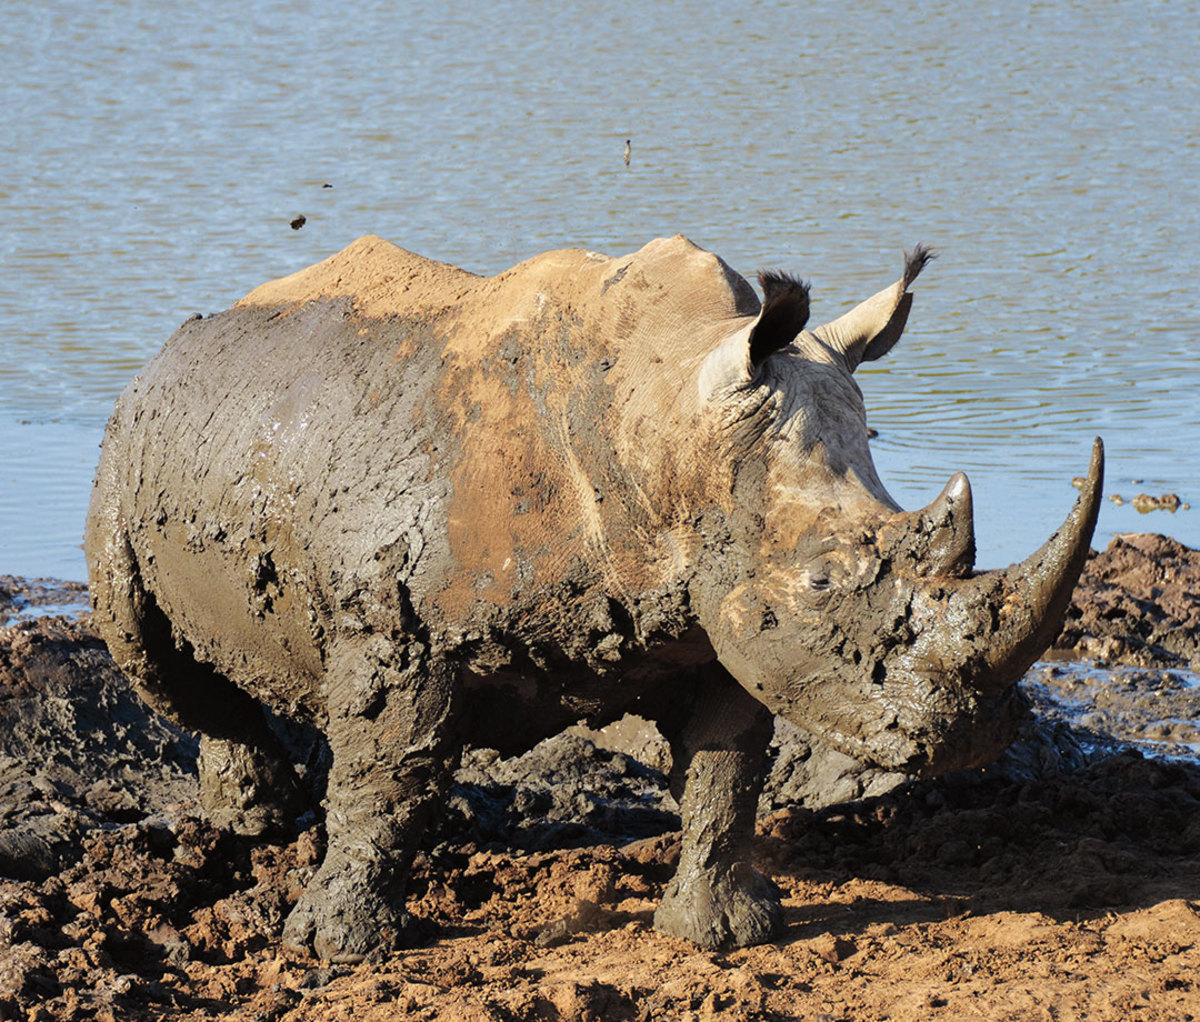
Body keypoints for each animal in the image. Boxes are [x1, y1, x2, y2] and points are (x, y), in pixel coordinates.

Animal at [84, 235, 1099, 964]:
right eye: (819, 584)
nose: (968, 738)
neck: (664, 417)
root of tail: (178, 344)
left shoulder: (713, 613)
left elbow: (726, 774)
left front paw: (724, 933)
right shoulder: (394, 631)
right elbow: (386, 778)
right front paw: (335, 949)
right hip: (127, 447)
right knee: (139, 639)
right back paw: (255, 819)